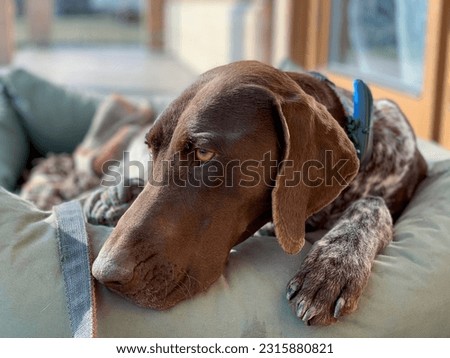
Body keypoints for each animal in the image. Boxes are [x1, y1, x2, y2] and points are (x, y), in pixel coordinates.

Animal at [91, 60, 426, 324]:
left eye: (203, 153)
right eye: (152, 147)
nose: (105, 273)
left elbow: (373, 205)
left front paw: (335, 263)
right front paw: (119, 194)